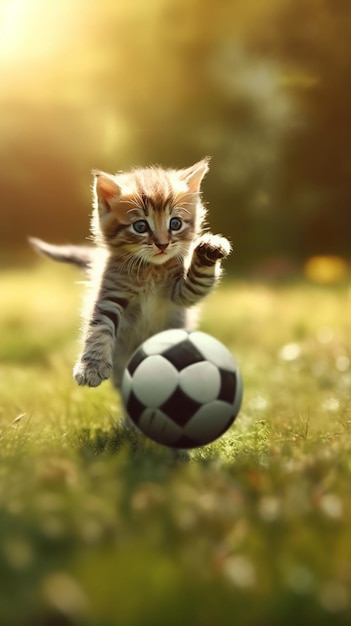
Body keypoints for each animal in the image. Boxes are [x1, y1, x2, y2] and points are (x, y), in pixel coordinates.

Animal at [30, 157, 231, 390]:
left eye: (175, 223)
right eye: (140, 226)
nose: (162, 244)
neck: (151, 270)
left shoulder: (181, 294)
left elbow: (199, 281)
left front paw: (209, 249)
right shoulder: (111, 292)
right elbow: (99, 327)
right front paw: (91, 367)